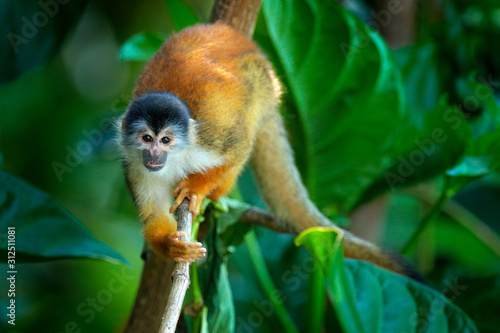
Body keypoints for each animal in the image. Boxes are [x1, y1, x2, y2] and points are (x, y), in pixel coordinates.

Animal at [119, 22, 420, 278]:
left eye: (166, 140)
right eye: (147, 138)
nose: (154, 155)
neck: (175, 160)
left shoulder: (208, 138)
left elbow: (238, 146)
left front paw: (197, 187)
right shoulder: (133, 166)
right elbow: (153, 216)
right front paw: (171, 247)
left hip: (263, 83)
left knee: (248, 119)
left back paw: (216, 192)